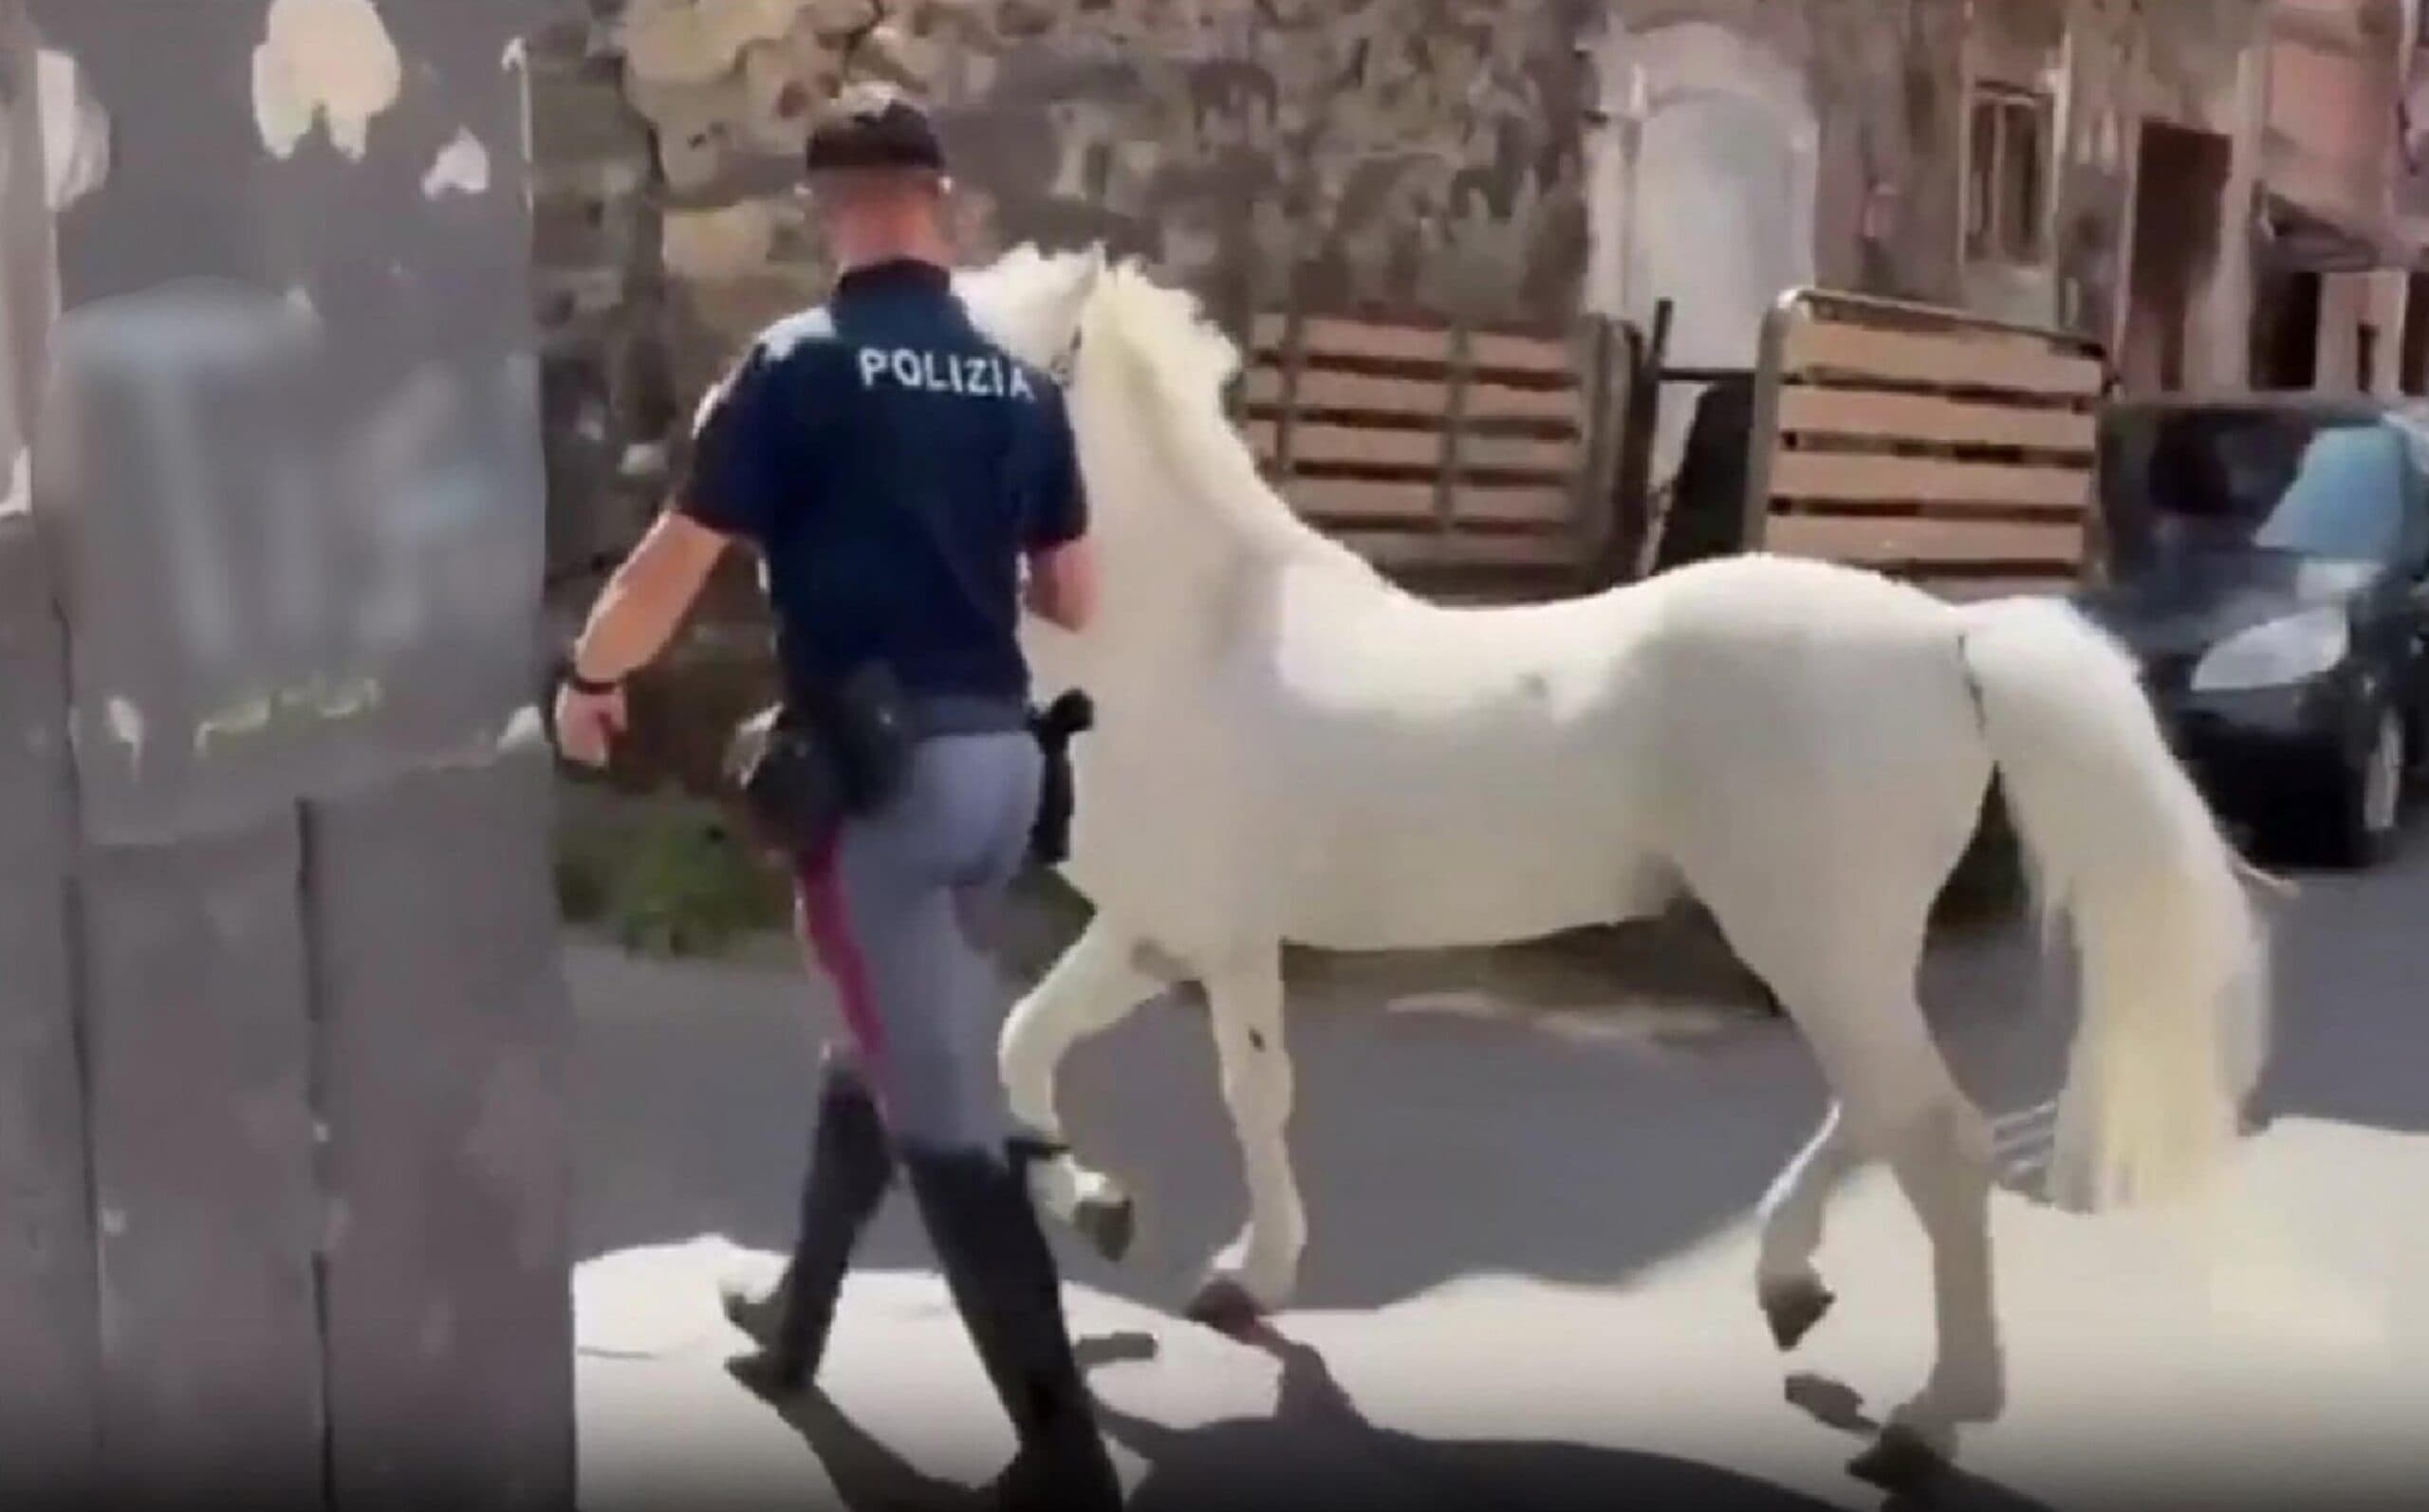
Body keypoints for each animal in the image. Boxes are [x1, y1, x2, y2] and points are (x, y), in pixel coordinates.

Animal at [950, 244, 2271, 1484]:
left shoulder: (1195, 934)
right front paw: (1151, 1230)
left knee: (1933, 1135)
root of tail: (1951, 636)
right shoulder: (1167, 932)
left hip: (1813, 939)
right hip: (1834, 944)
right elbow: (1053, 1048)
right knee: (1885, 1107)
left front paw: (1192, 1251)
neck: (1192, 644)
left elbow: (1199, 1084)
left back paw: (1927, 1418)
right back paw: (1793, 1287)